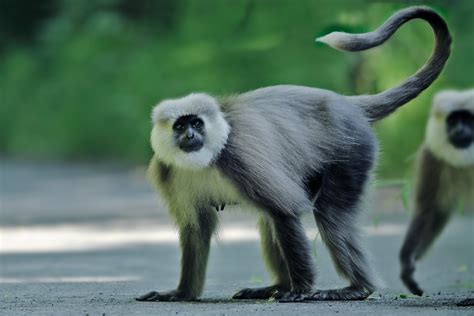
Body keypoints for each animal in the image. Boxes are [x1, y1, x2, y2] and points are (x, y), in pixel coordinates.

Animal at [137, 7, 452, 302]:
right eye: (180, 126)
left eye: (197, 123)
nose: (190, 136)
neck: (207, 160)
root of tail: (348, 104)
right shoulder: (166, 172)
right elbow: (197, 230)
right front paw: (182, 293)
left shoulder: (238, 157)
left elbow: (286, 210)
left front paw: (300, 290)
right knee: (270, 220)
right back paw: (277, 286)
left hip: (353, 151)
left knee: (327, 213)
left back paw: (356, 288)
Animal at [400, 89, 474, 296]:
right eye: (452, 121)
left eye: (468, 119)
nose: (459, 130)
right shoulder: (432, 156)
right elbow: (430, 210)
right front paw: (408, 264)